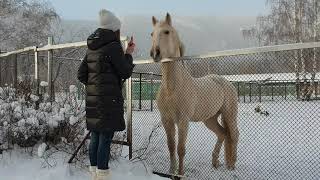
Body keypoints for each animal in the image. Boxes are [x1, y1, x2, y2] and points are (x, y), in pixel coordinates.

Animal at [150, 13, 240, 175]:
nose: (155, 53)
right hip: (210, 119)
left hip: (229, 114)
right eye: (151, 34)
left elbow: (180, 149)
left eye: (167, 32)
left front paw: (180, 173)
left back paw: (232, 165)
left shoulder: (183, 121)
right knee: (223, 134)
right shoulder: (166, 120)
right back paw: (215, 162)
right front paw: (171, 171)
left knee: (234, 135)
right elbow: (171, 147)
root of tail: (226, 82)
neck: (171, 89)